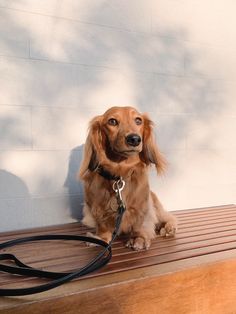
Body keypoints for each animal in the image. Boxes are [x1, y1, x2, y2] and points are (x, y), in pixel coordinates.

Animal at [79, 106, 177, 250]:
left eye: (138, 120)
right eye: (112, 121)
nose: (134, 139)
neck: (120, 175)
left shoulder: (142, 206)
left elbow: (139, 224)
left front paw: (139, 238)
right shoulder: (97, 207)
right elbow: (102, 225)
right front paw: (101, 238)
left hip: (157, 208)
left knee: (167, 217)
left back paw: (169, 227)